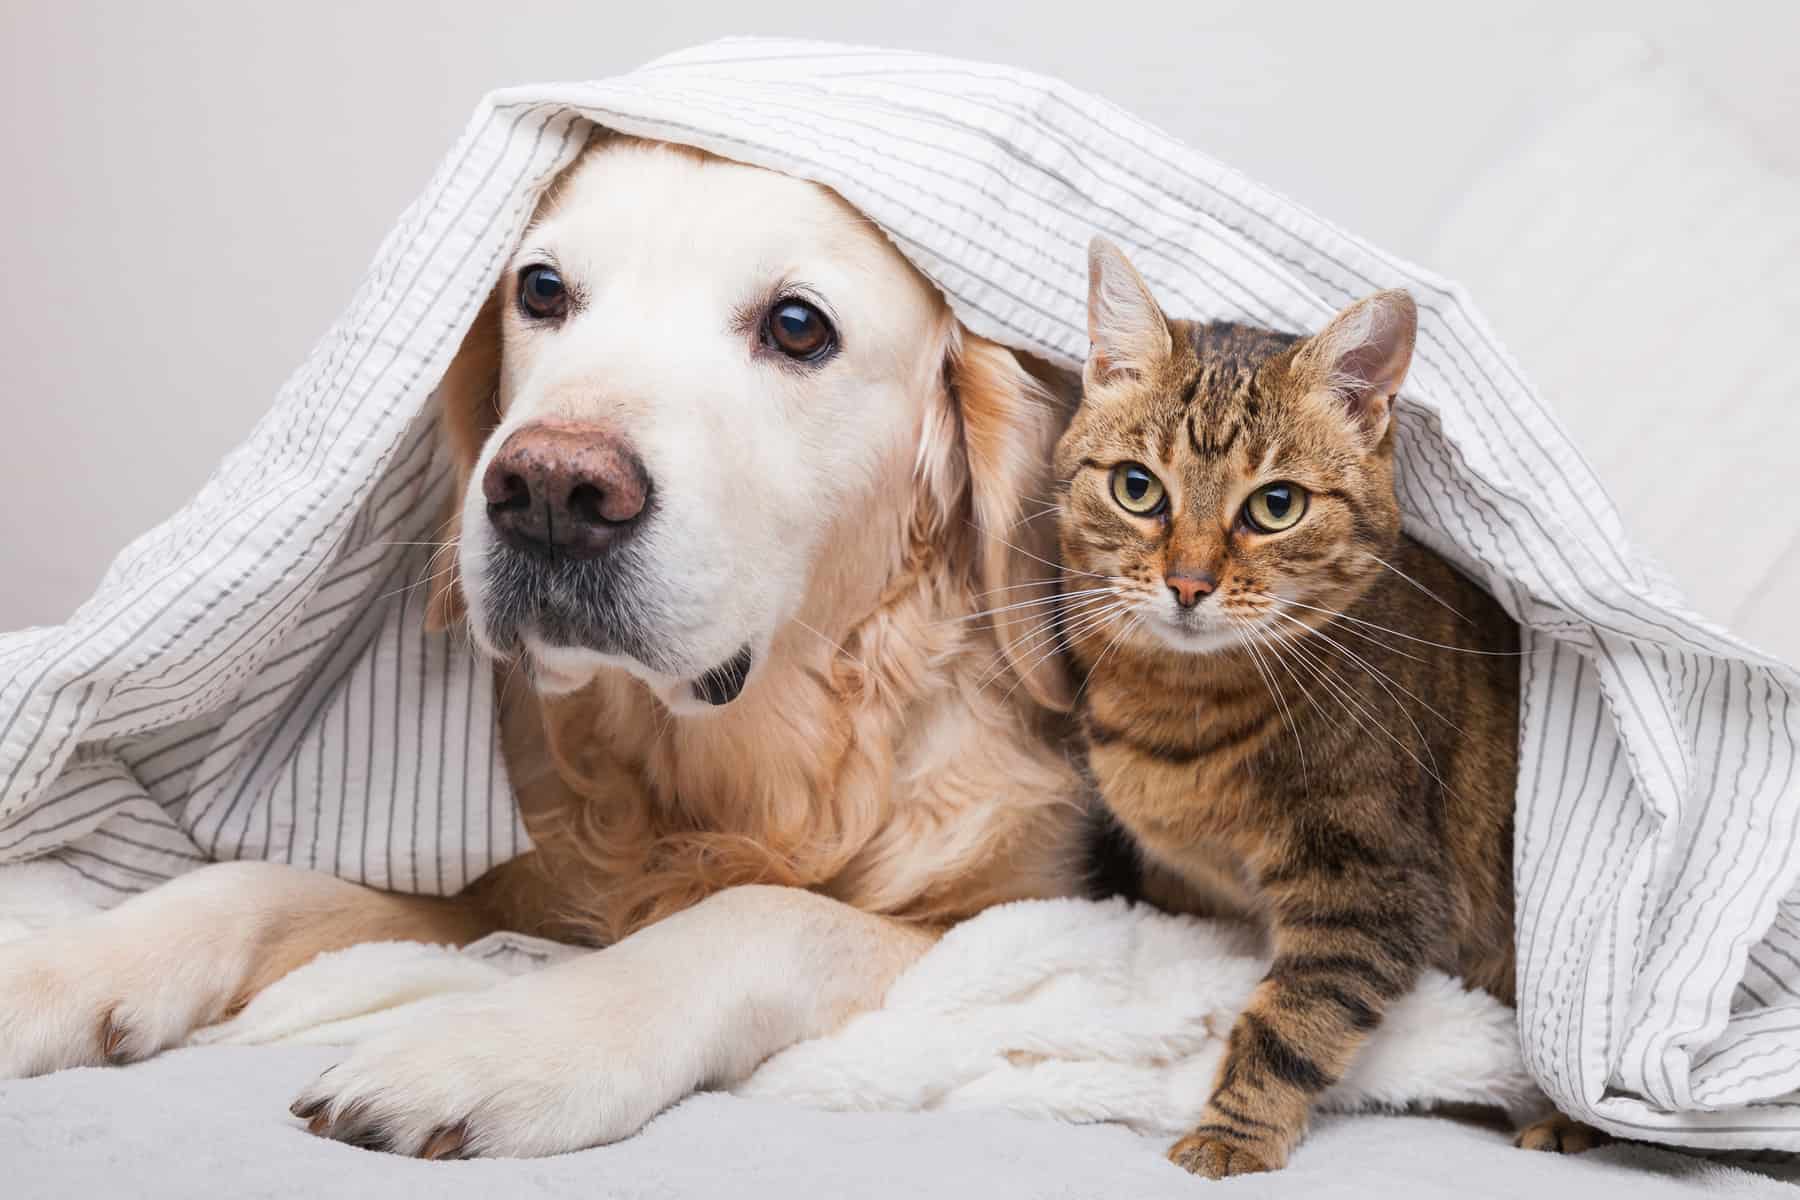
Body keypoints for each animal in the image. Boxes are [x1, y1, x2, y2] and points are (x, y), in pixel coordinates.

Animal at [0, 135, 1094, 1158]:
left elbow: (760, 916)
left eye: (797, 326)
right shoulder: (507, 887)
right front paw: (63, 968)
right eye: (541, 289)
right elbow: (252, 883)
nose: (552, 492)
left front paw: (505, 1046)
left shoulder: (1020, 914)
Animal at [1051, 239, 1591, 1180]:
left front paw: (1231, 1137)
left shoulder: (1372, 883)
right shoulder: (1187, 888)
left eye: (1276, 505)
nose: (1187, 583)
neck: (1181, 711)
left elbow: (1290, 1023)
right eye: (1137, 488)